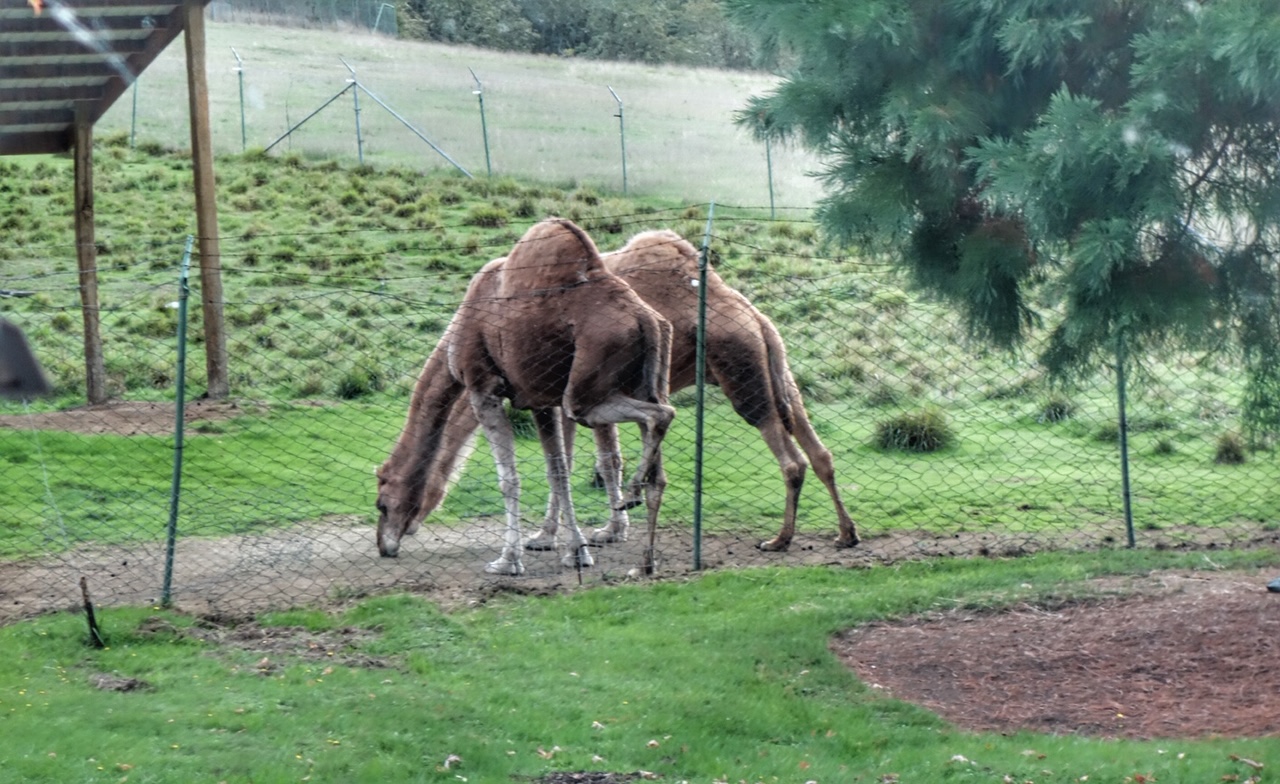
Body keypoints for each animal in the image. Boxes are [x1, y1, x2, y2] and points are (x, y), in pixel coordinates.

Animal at [375, 218, 675, 575]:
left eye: (381, 504)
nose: (384, 546)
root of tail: (648, 320)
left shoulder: (483, 387)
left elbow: (509, 479)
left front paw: (508, 561)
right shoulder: (539, 401)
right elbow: (558, 471)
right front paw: (574, 552)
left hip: (583, 393)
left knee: (659, 415)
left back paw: (631, 495)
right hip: (648, 379)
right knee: (658, 464)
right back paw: (645, 563)